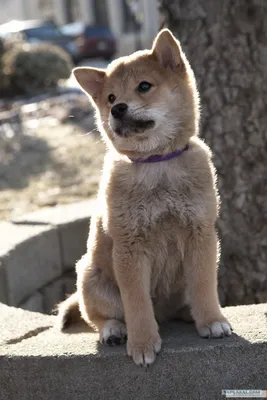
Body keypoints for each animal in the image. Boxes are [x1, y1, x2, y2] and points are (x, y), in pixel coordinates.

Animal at [58, 28, 232, 366]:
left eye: (144, 86)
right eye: (111, 97)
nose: (117, 109)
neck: (157, 164)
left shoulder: (201, 234)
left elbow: (204, 285)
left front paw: (211, 320)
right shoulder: (130, 245)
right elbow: (136, 303)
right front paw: (142, 343)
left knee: (185, 301)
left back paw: (190, 314)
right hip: (88, 276)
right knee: (99, 316)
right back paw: (114, 331)